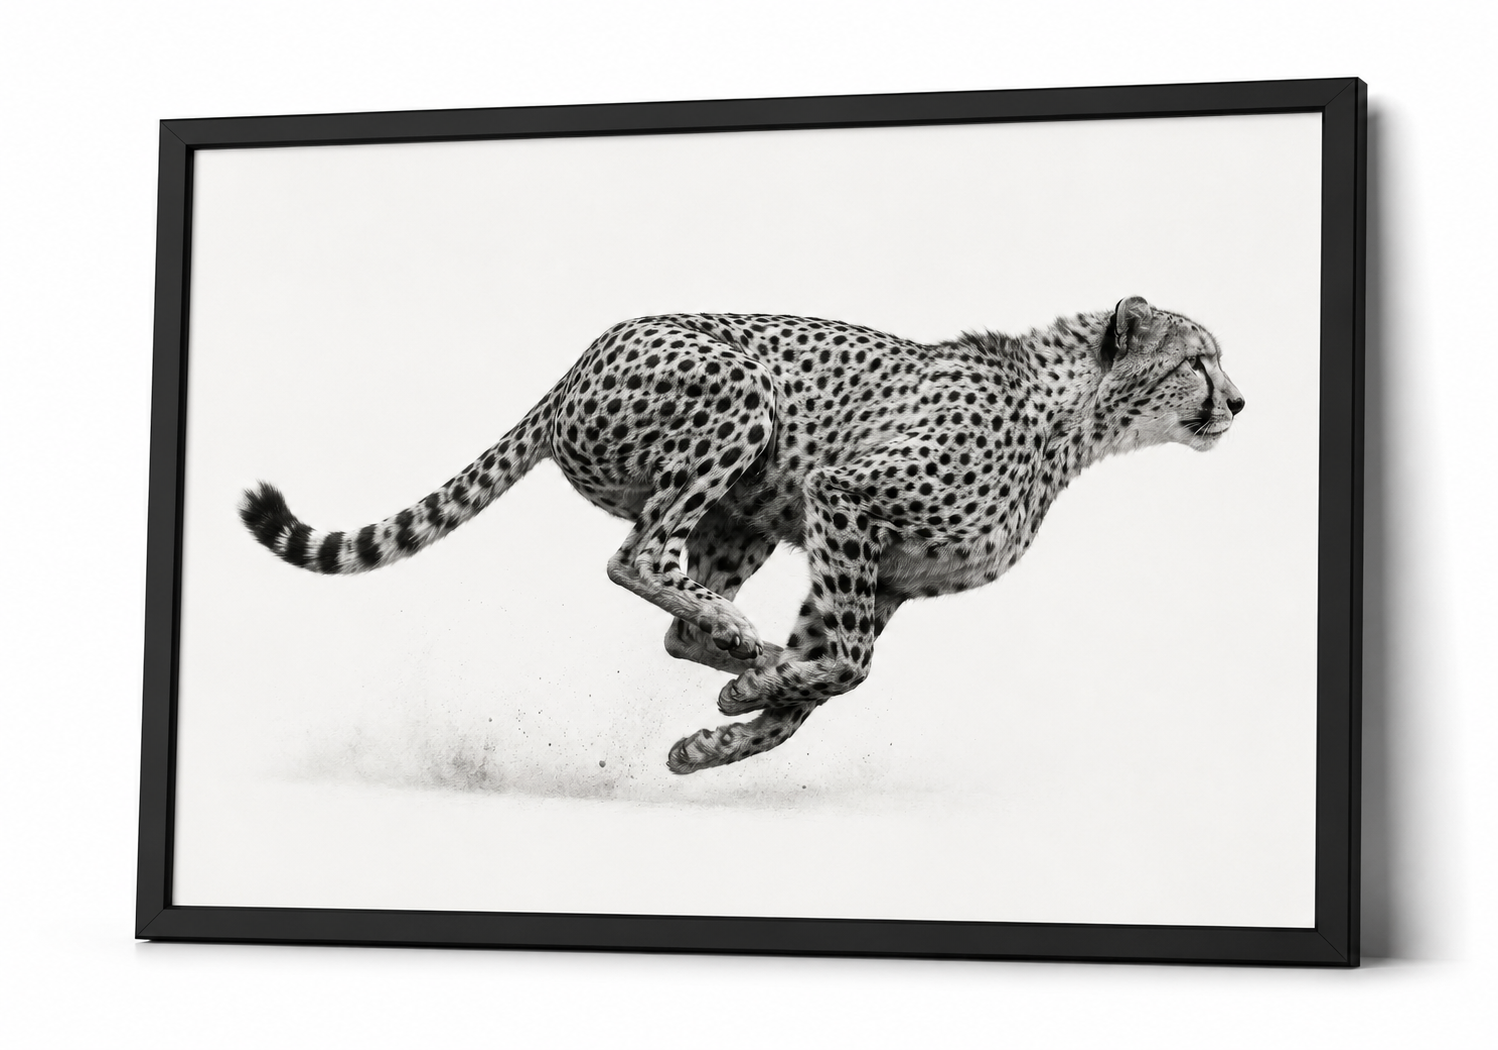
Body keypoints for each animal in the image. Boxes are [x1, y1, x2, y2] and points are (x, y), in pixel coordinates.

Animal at [240, 296, 1244, 775]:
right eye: (1199, 360)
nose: (1238, 402)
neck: (1072, 419)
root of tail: (578, 362)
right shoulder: (847, 497)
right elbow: (846, 667)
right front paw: (748, 695)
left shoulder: (887, 578)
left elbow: (824, 683)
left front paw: (714, 739)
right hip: (743, 405)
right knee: (635, 556)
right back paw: (737, 638)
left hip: (746, 515)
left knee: (676, 621)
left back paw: (734, 645)